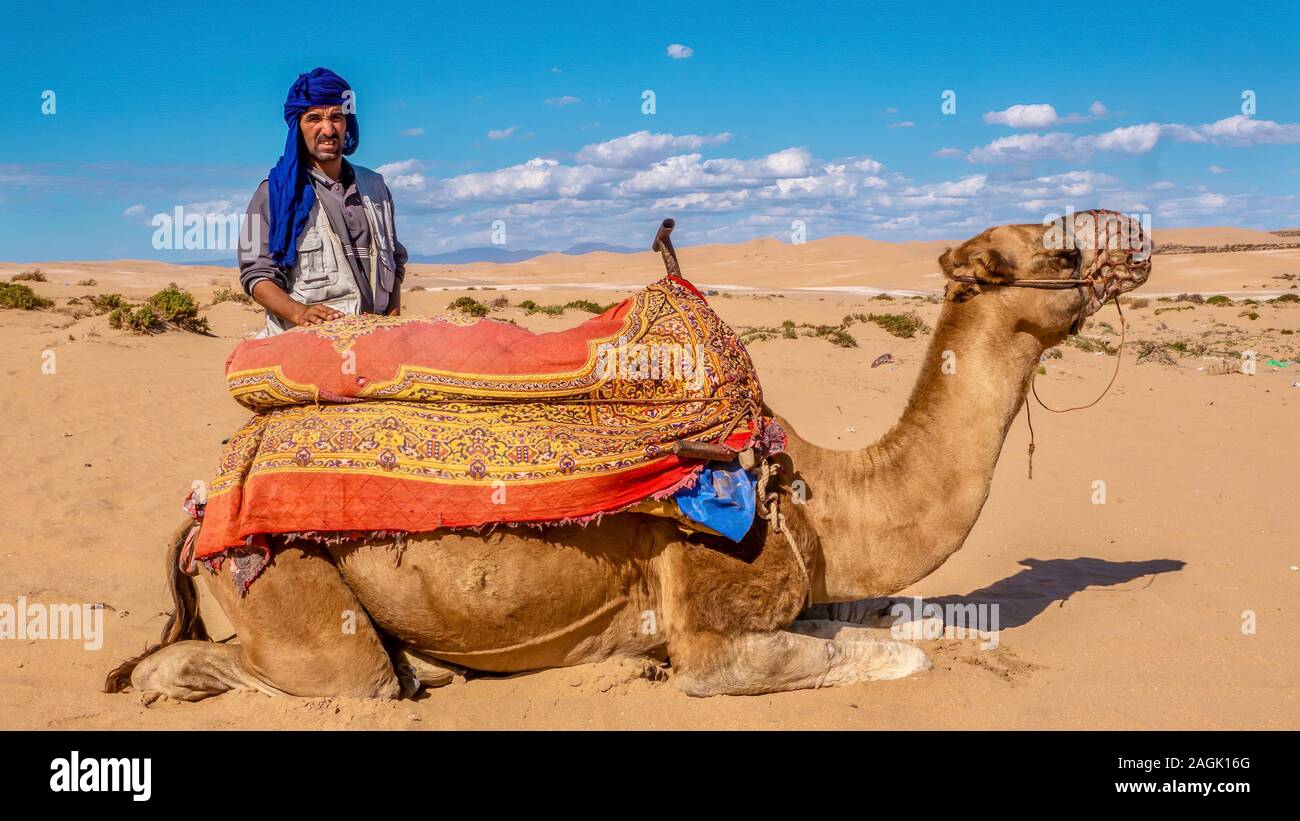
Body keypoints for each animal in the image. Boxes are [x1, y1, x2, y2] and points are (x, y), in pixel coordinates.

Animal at [109, 210, 1149, 701]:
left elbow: (919, 622)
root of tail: (202, 503)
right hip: (285, 585)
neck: (821, 495)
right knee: (263, 670)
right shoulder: (716, 634)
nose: (1138, 239)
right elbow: (901, 654)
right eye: (1058, 252)